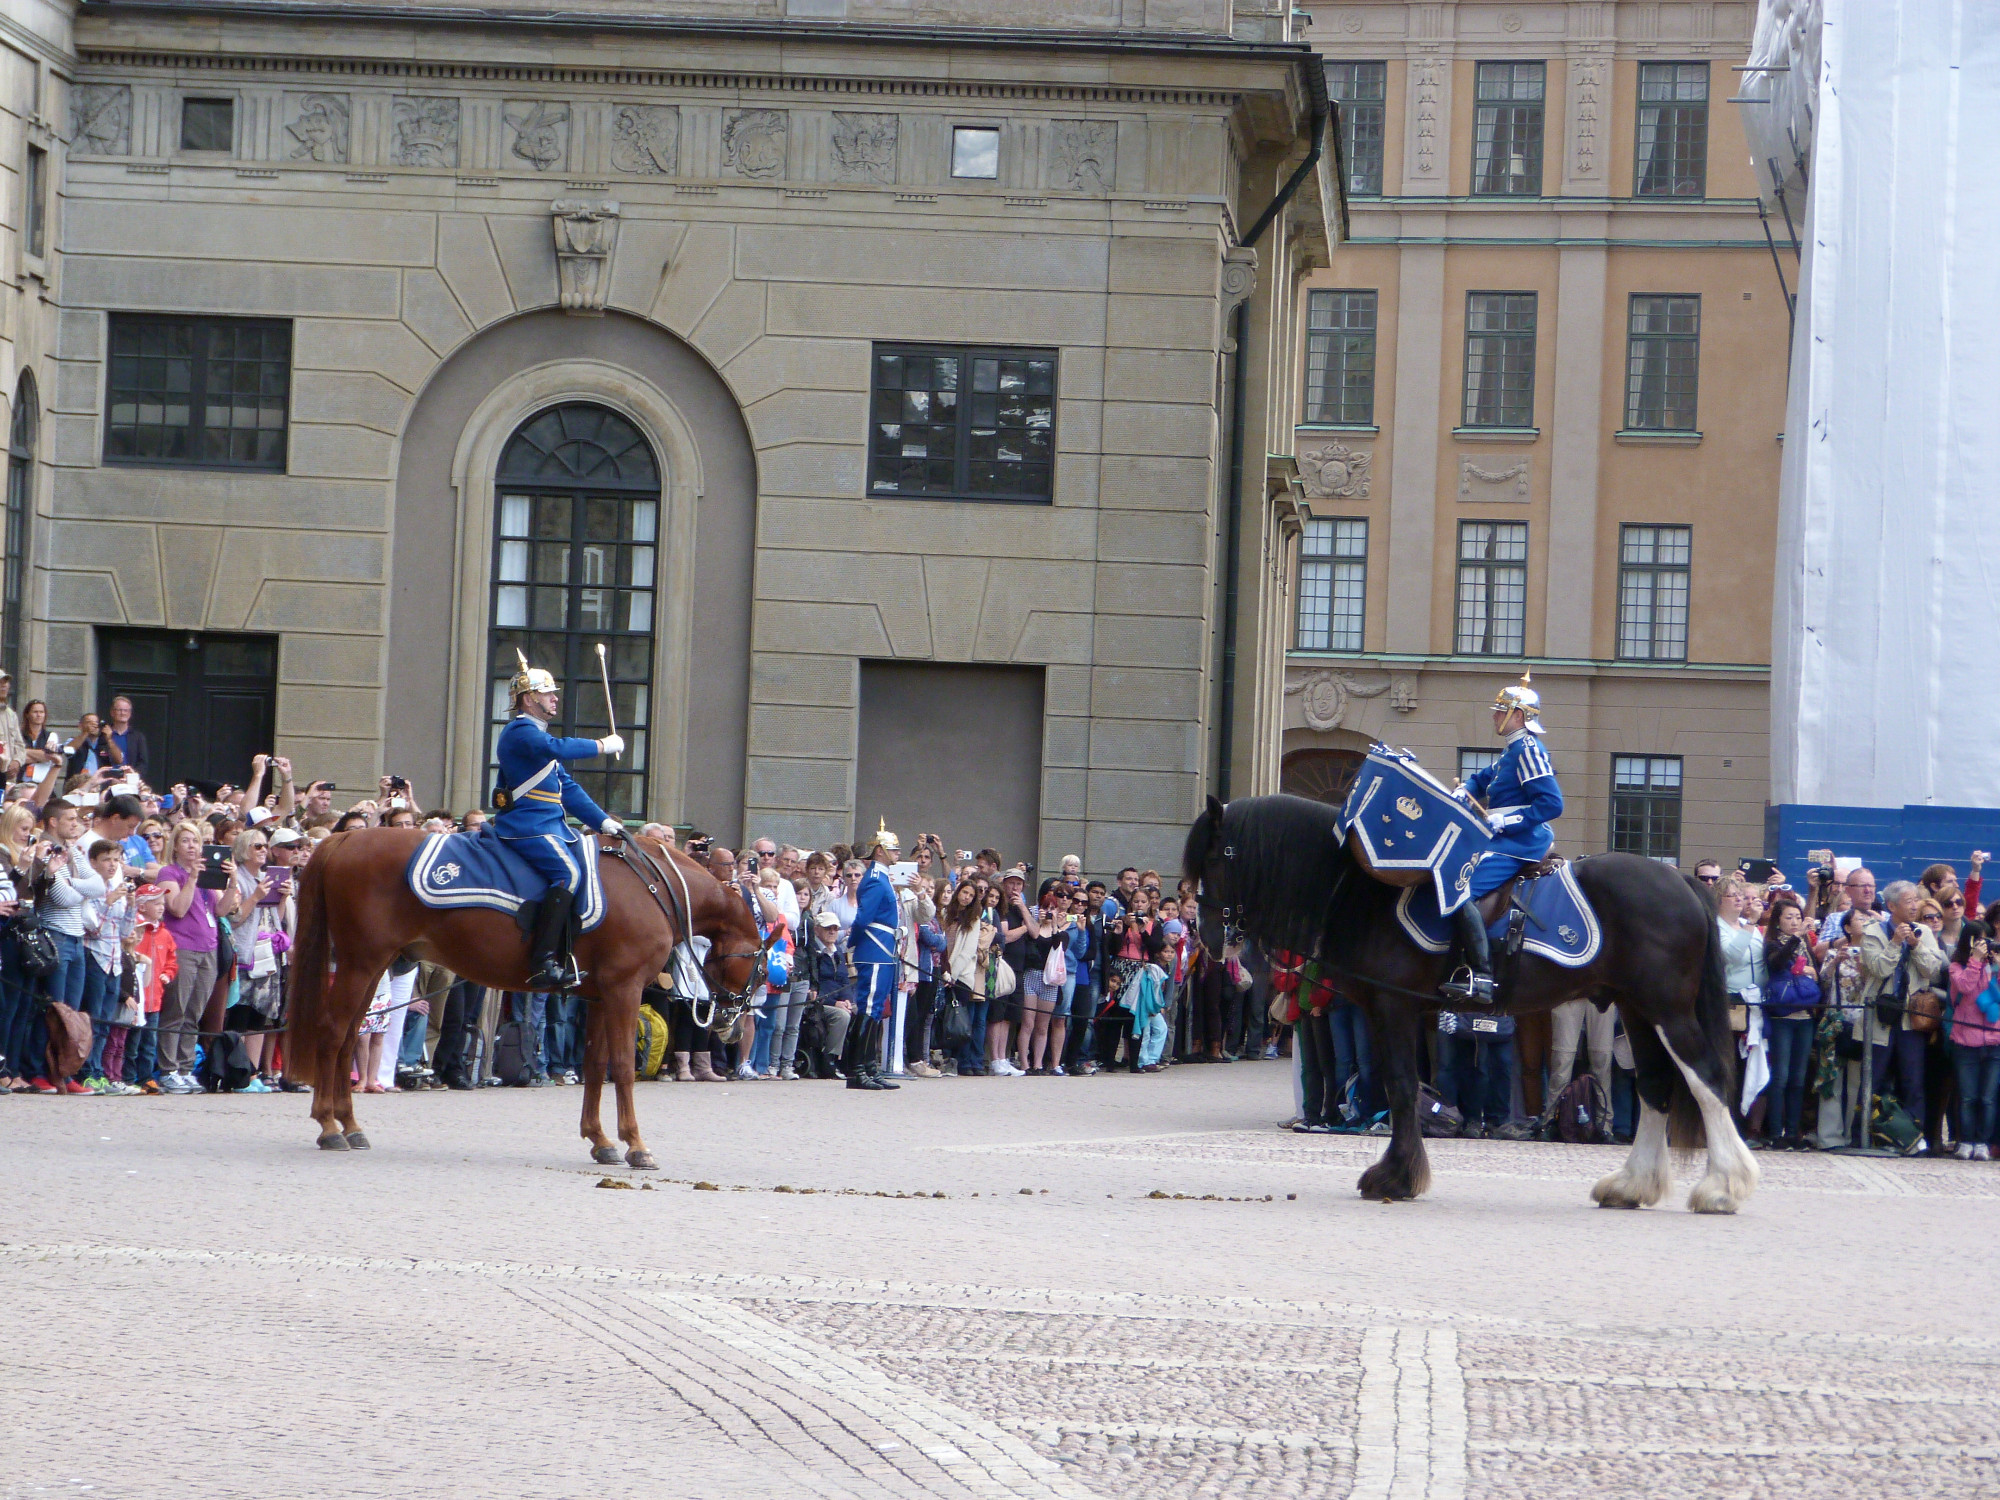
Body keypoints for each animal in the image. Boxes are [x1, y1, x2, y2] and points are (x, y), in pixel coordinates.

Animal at [290, 828, 764, 1168]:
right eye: (762, 967)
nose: (733, 1021)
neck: (654, 888)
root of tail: (346, 838)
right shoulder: (625, 990)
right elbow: (623, 1068)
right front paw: (635, 1144)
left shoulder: (600, 997)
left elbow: (595, 1066)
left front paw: (600, 1139)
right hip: (361, 962)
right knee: (333, 1032)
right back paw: (329, 1125)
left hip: (374, 965)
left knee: (350, 1035)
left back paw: (350, 1124)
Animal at [1176, 792, 1760, 1216]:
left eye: (1216, 857)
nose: (1206, 937)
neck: (1359, 890)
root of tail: (1682, 882)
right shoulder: (1388, 1011)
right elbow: (1401, 1087)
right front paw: (1398, 1172)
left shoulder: (1392, 1008)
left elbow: (1402, 1088)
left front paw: (1397, 1176)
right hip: (1637, 1011)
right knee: (1657, 1087)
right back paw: (1633, 1185)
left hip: (1668, 1012)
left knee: (1707, 1080)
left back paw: (1723, 1187)